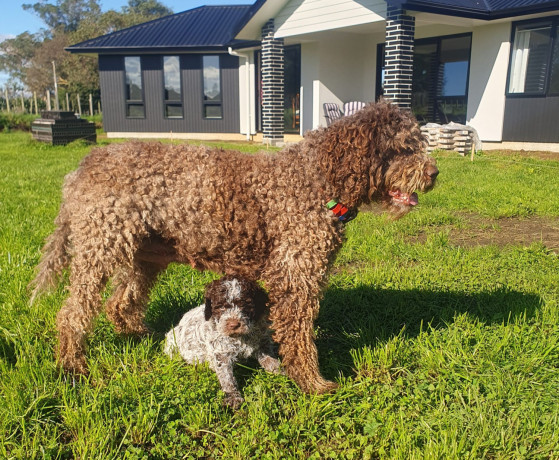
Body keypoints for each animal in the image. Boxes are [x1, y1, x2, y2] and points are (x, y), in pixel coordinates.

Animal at [30, 99, 440, 392]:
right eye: (403, 148)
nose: (435, 173)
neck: (317, 179)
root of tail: (82, 166)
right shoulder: (295, 279)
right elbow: (299, 338)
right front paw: (312, 384)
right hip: (99, 248)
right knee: (72, 313)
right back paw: (72, 366)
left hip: (142, 255)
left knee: (120, 301)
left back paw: (139, 336)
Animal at [164, 274, 282, 408]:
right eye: (220, 307)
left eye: (245, 305)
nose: (233, 324)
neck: (239, 337)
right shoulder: (221, 353)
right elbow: (226, 377)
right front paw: (233, 396)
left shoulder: (262, 341)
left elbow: (269, 358)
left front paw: (279, 369)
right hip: (172, 342)